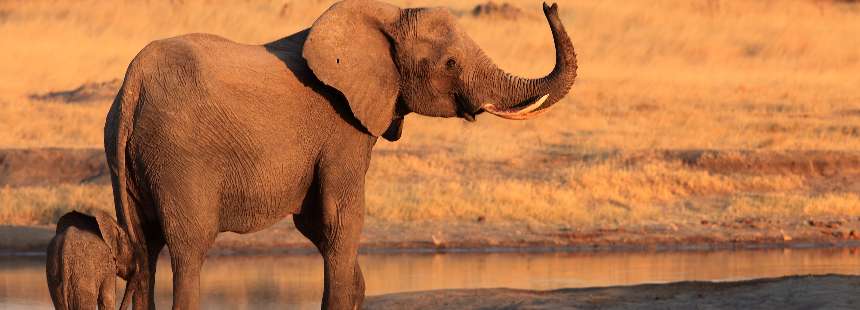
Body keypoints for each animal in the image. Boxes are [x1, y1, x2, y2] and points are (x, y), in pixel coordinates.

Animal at [106, 0, 576, 310]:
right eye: (450, 63)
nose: (550, 4)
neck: (387, 16)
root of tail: (133, 85)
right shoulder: (341, 129)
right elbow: (340, 221)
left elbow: (317, 223)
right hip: (181, 158)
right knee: (189, 252)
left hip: (128, 155)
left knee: (144, 250)